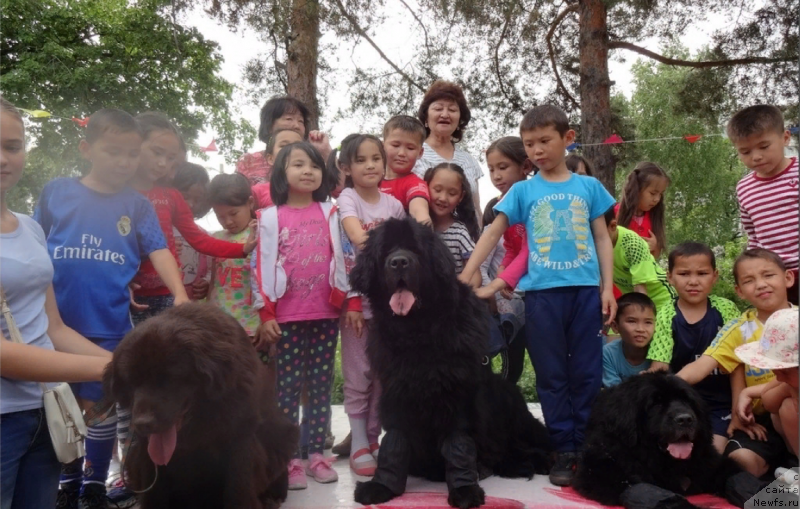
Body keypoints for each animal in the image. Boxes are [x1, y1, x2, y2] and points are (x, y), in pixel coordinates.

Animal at [103, 302, 296, 508]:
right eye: (131, 380)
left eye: (170, 378)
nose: (143, 424)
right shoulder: (147, 450)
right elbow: (153, 491)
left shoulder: (242, 436)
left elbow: (238, 488)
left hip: (285, 435)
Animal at [354, 218, 552, 508]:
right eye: (386, 251)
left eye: (415, 249)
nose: (399, 262)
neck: (416, 333)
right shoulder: (396, 392)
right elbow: (394, 441)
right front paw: (382, 485)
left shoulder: (456, 394)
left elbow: (458, 444)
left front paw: (464, 489)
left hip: (512, 407)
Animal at [576, 372, 768, 508]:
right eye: (656, 403)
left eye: (687, 401)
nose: (685, 419)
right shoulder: (606, 471)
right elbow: (654, 494)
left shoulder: (711, 463)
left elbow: (737, 475)